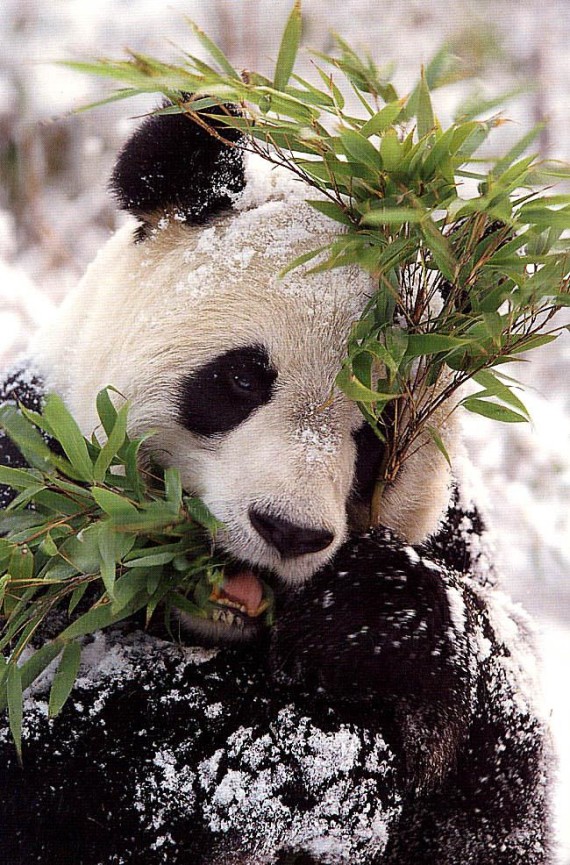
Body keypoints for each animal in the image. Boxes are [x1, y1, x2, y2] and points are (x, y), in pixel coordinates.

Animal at [0, 99, 552, 856]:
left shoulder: (457, 536)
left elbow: (498, 796)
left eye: (378, 430)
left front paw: (370, 619)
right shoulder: (32, 504)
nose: (288, 531)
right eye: (240, 379)